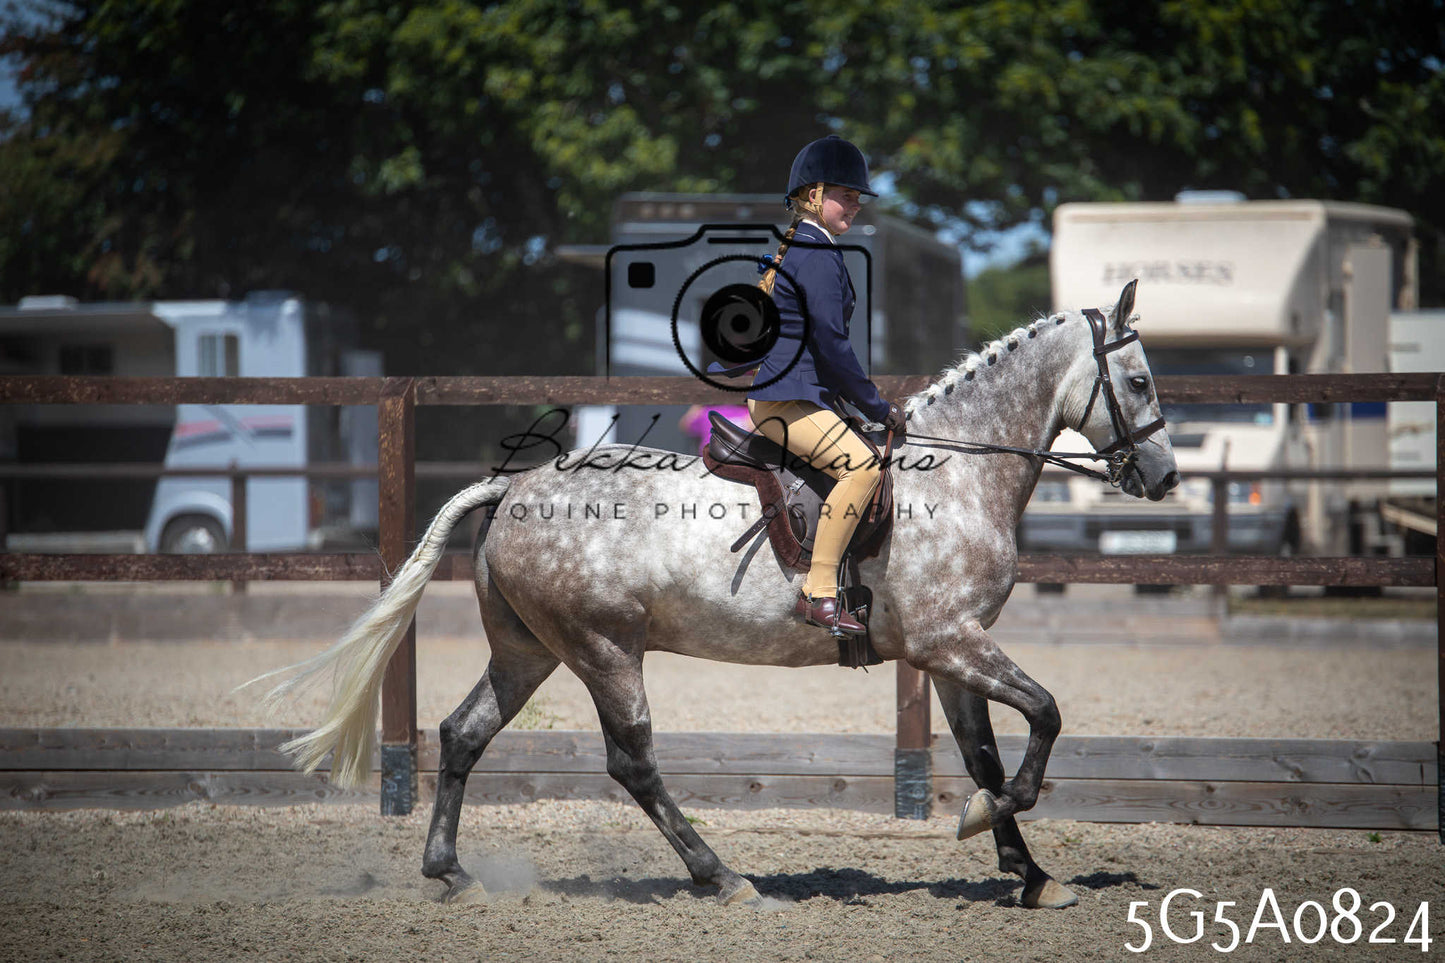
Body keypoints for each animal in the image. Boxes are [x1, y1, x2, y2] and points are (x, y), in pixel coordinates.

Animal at [259, 279, 1178, 911]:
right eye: (1137, 382)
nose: (1164, 477)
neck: (956, 473)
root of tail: (513, 488)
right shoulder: (949, 641)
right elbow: (1046, 714)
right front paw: (985, 822)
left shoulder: (949, 653)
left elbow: (988, 751)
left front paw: (1029, 873)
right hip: (604, 650)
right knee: (632, 761)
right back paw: (724, 877)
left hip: (528, 651)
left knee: (462, 734)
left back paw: (451, 872)